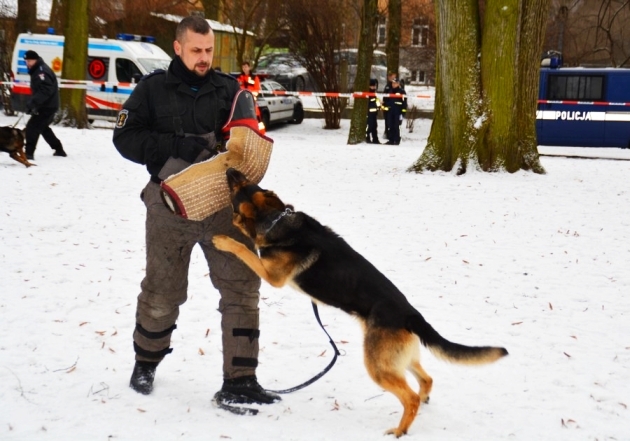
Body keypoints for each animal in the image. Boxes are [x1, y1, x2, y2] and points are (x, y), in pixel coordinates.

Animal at [215, 167, 512, 434]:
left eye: (239, 185)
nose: (229, 168)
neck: (276, 219)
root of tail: (411, 314)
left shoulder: (272, 275)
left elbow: (244, 248)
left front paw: (224, 239)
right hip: (399, 358)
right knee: (426, 379)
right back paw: (421, 403)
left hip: (377, 366)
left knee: (410, 397)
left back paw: (400, 430)